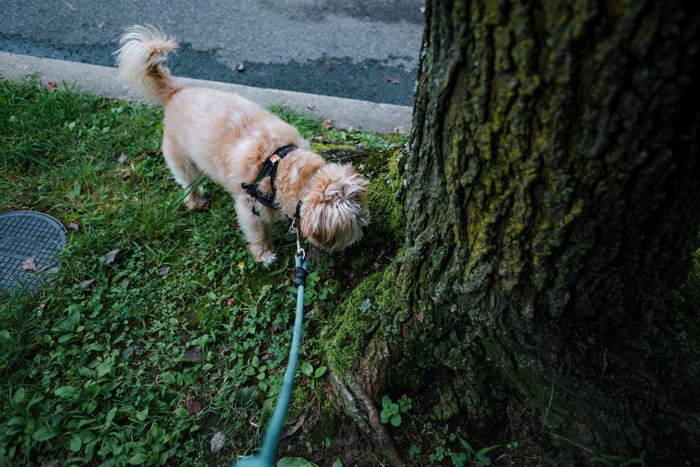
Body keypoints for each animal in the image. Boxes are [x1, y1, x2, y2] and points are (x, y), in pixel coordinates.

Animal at [116, 25, 372, 264]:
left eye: (362, 209)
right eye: (354, 221)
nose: (367, 227)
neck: (278, 164)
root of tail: (175, 92)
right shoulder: (249, 207)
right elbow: (257, 233)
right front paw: (264, 254)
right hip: (180, 159)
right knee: (188, 182)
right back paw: (196, 201)